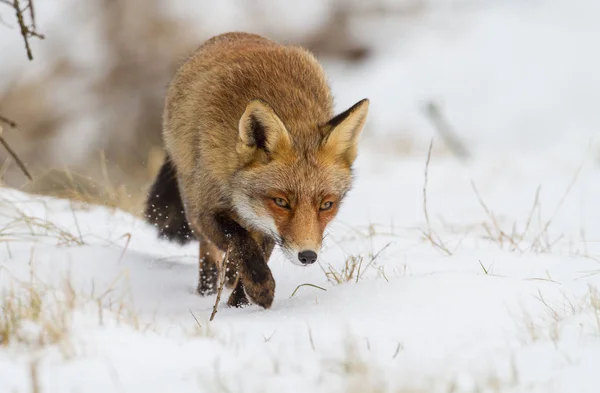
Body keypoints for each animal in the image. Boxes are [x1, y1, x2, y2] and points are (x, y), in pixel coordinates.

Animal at [146, 32, 370, 308]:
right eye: (281, 202)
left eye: (327, 205)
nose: (308, 256)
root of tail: (235, 35)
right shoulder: (204, 209)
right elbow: (239, 241)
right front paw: (259, 285)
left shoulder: (267, 227)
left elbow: (256, 250)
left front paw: (239, 304)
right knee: (209, 251)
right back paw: (206, 290)